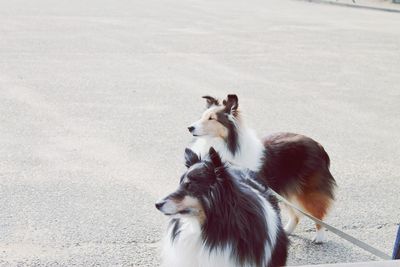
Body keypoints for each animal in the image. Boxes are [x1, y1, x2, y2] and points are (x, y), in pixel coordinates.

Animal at [188, 95, 338, 244]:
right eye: (202, 116)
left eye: (211, 118)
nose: (190, 127)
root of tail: (319, 146)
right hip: (287, 190)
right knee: (296, 215)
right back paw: (287, 230)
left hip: (307, 191)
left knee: (318, 212)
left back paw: (319, 237)